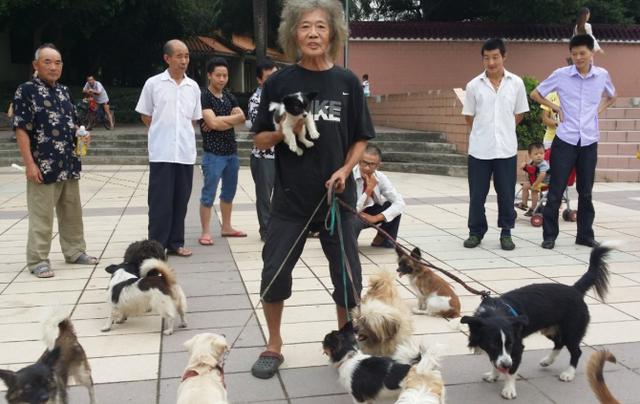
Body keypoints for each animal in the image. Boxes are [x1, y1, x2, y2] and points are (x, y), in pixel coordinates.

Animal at [460, 245, 608, 400]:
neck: (494, 312)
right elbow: (496, 361)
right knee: (559, 343)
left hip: (572, 331)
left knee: (576, 351)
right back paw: (548, 360)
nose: (507, 364)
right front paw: (494, 375)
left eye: (510, 344)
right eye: (493, 344)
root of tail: (575, 289)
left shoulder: (517, 347)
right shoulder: (498, 352)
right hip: (551, 329)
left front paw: (509, 389)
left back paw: (569, 373)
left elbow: (511, 370)